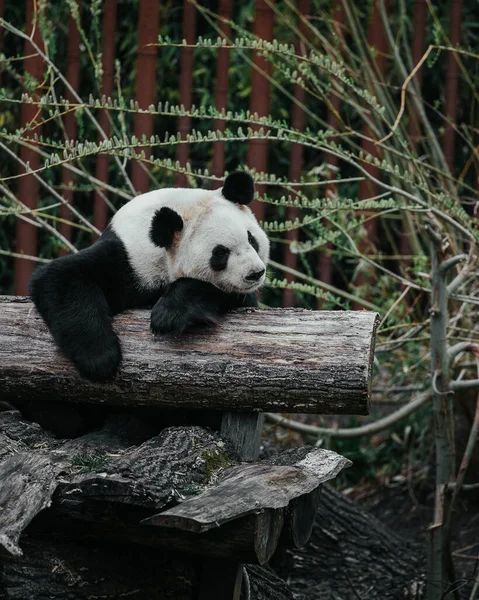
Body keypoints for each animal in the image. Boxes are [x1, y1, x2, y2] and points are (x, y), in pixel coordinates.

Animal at [30, 171, 270, 382]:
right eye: (220, 253)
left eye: (251, 239)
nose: (255, 273)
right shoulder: (127, 257)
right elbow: (60, 277)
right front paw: (101, 359)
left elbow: (221, 293)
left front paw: (168, 314)